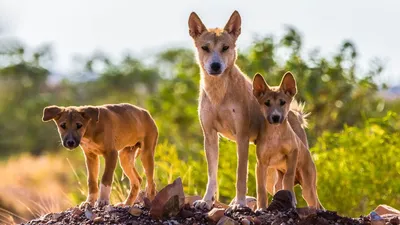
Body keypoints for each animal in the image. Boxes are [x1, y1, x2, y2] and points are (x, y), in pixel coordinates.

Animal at [188, 11, 310, 211]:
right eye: (205, 48)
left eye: (225, 47)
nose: (215, 66)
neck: (218, 94)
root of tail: (294, 114)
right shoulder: (210, 136)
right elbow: (212, 175)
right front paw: (206, 201)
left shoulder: (242, 137)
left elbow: (240, 176)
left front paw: (239, 203)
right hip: (271, 170)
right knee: (278, 185)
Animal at [253, 72, 324, 211]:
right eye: (267, 103)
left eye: (282, 102)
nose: (275, 117)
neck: (275, 135)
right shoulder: (261, 164)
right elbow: (261, 189)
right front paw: (261, 208)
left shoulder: (293, 152)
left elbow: (288, 177)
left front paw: (291, 199)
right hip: (276, 184)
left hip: (308, 187)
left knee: (315, 203)